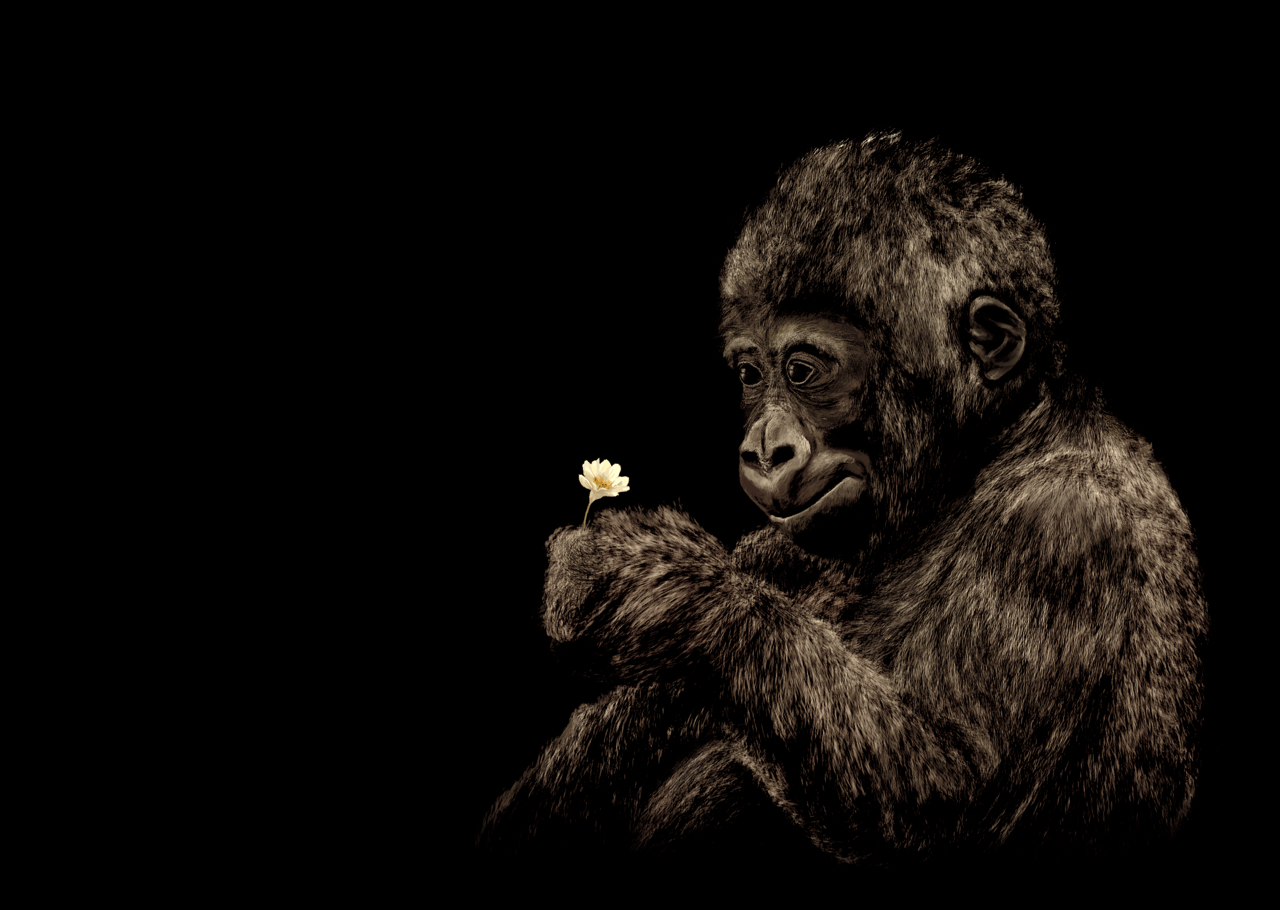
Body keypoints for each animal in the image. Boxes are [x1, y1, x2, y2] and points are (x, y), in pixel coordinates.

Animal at [476, 133, 1206, 872]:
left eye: (803, 371)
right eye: (750, 374)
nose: (763, 451)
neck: (992, 446)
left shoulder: (1065, 526)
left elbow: (949, 788)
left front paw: (662, 586)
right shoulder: (773, 548)